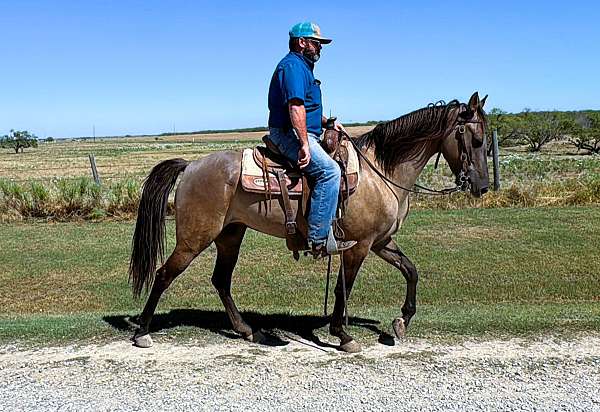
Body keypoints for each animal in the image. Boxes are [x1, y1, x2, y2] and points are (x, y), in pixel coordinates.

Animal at [126, 91, 488, 352]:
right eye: (477, 140)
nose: (482, 186)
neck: (379, 173)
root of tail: (190, 166)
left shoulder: (381, 241)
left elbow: (411, 271)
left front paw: (401, 322)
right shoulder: (358, 246)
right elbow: (344, 288)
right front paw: (343, 335)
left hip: (230, 235)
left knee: (221, 281)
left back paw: (247, 330)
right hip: (194, 238)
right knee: (164, 274)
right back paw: (143, 332)